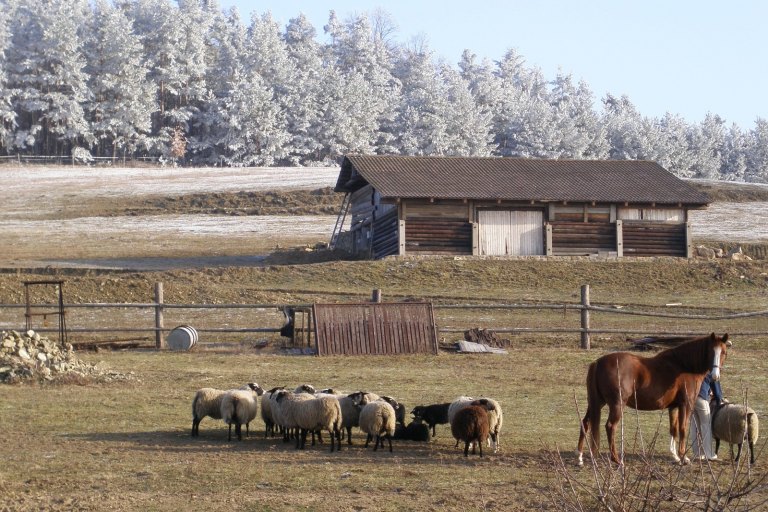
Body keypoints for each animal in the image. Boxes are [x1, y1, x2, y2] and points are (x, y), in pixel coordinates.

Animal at [576, 334, 732, 466]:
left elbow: (674, 429)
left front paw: (675, 456)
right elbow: (682, 428)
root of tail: (598, 362)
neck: (684, 366)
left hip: (597, 403)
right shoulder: (686, 405)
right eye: (711, 352)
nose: (715, 376)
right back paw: (616, 459)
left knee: (585, 423)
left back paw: (580, 457)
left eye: (724, 352)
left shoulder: (673, 407)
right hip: (616, 405)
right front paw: (683, 457)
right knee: (610, 426)